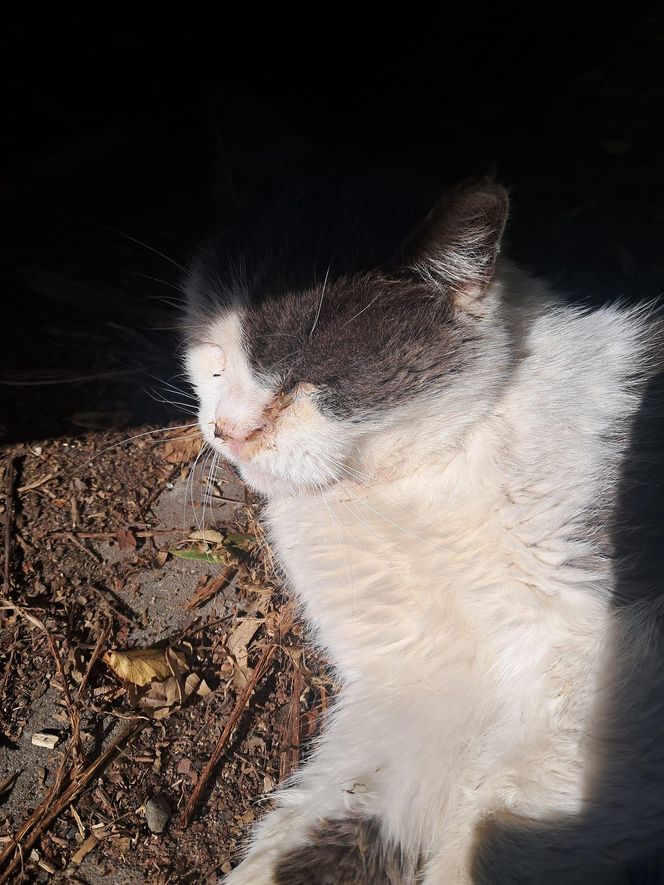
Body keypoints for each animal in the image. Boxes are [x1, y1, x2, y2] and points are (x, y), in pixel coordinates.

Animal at [183, 181, 664, 884]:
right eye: (214, 361)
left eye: (309, 379)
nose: (230, 431)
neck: (414, 488)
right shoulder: (420, 685)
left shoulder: (613, 667)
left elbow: (500, 837)